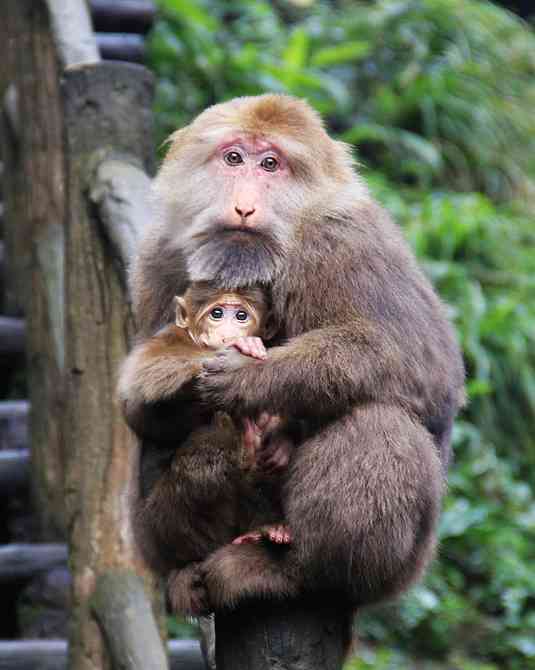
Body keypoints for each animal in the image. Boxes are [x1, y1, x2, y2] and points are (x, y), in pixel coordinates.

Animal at [121, 94, 464, 620]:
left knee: (380, 423)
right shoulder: (158, 255)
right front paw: (187, 382)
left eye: (271, 164)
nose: (244, 204)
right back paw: (186, 566)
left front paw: (245, 378)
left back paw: (295, 571)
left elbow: (421, 365)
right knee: (199, 451)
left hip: (402, 568)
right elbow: (137, 407)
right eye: (234, 158)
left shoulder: (345, 243)